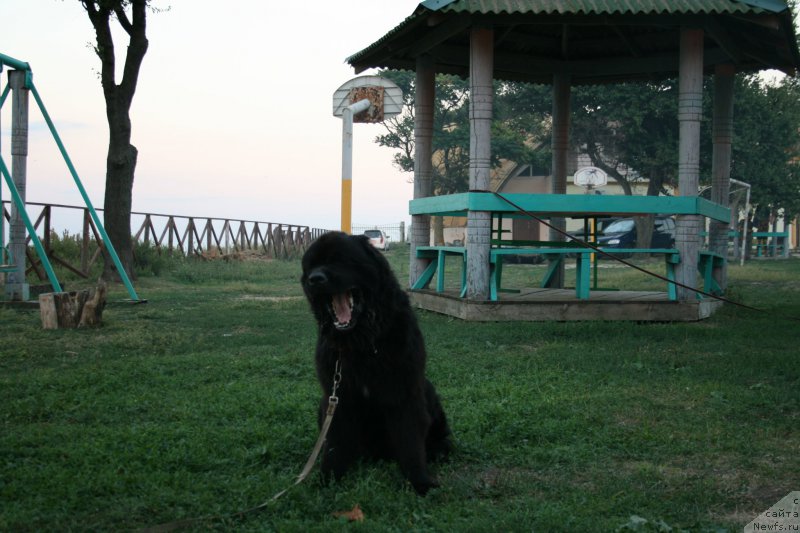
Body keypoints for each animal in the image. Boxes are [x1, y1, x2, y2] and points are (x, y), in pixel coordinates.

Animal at [300, 232, 450, 494]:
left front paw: (420, 481)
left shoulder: (405, 392)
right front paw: (326, 479)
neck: (362, 343)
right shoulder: (338, 396)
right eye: (311, 266)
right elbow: (334, 445)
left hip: (428, 390)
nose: (315, 279)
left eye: (341, 260)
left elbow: (411, 441)